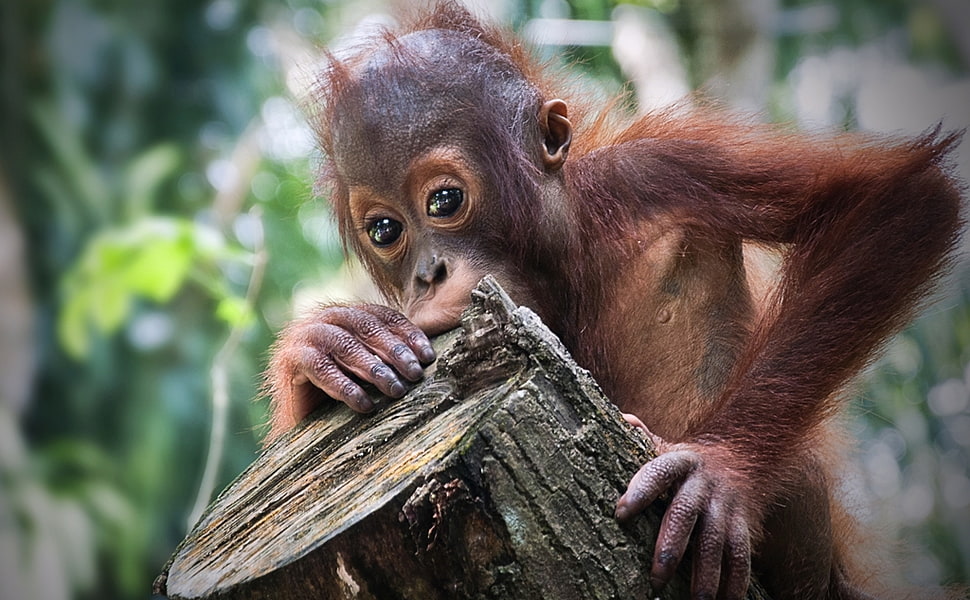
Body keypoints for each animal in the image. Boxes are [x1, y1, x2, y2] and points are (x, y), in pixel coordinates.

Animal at [263, 4, 964, 599]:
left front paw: (716, 471)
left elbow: (896, 200)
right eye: (385, 231)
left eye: (444, 200)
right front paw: (330, 343)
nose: (427, 277)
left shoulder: (658, 170)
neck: (566, 262)